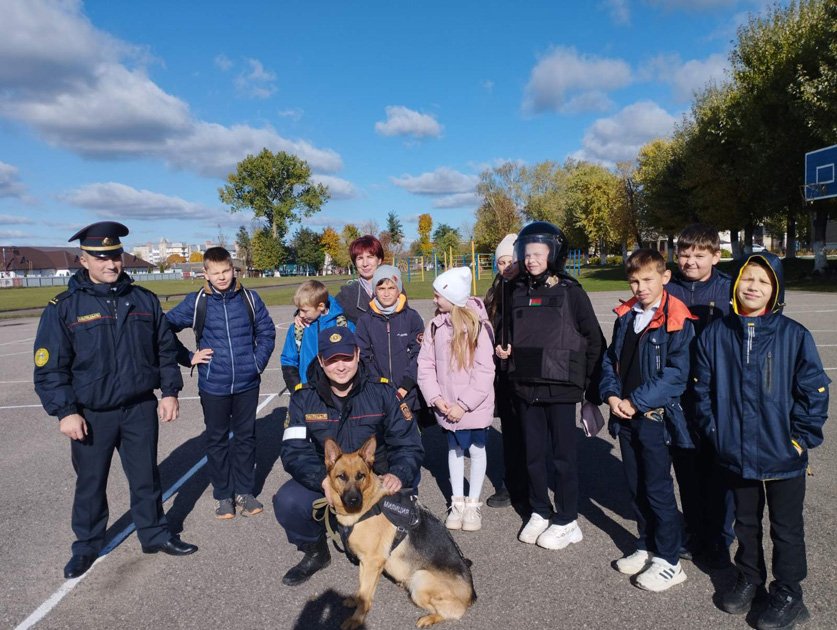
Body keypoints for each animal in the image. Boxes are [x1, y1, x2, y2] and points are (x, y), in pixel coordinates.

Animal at [324, 436, 474, 628]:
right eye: (341, 476)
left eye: (360, 476)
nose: (354, 500)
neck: (367, 508)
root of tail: (471, 596)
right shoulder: (365, 563)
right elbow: (362, 588)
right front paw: (355, 599)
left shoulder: (373, 562)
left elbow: (366, 595)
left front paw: (356, 619)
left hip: (420, 579)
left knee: (450, 612)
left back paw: (428, 618)